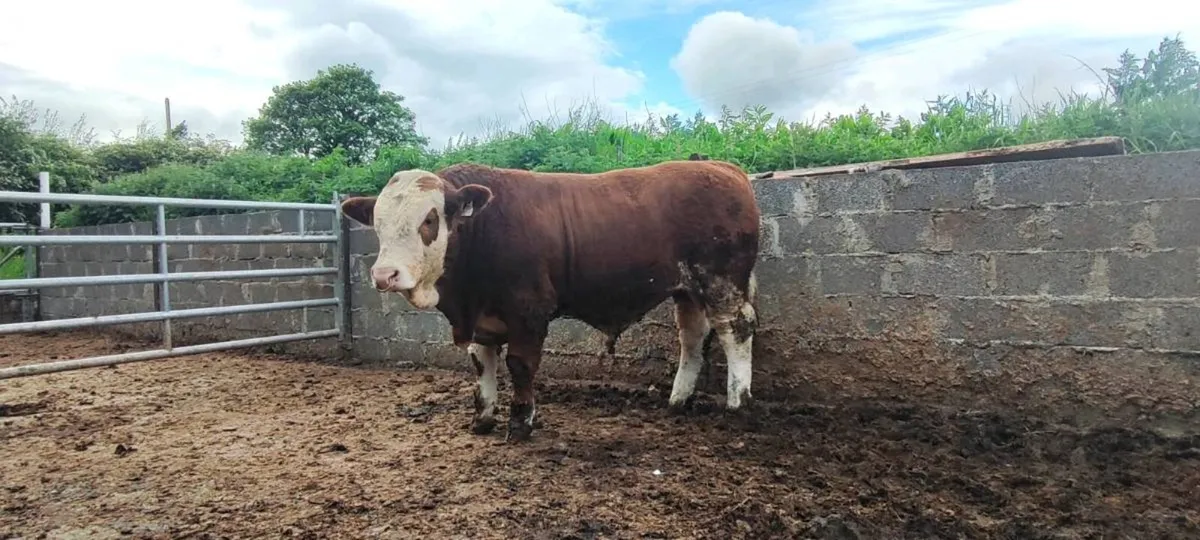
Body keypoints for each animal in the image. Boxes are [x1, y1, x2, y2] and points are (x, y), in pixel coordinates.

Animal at [340, 159, 761, 442]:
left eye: (428, 220)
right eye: (377, 224)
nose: (385, 275)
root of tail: (722, 167)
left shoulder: (529, 311)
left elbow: (520, 366)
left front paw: (521, 423)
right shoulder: (482, 319)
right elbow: (482, 364)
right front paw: (483, 419)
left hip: (721, 280)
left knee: (735, 329)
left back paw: (738, 402)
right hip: (687, 290)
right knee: (692, 338)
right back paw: (678, 400)